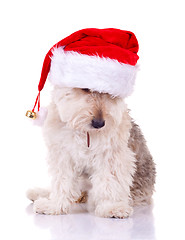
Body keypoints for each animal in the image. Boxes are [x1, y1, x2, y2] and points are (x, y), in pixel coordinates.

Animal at [26, 86, 155, 218]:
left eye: (109, 93)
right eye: (85, 88)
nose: (99, 123)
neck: (85, 132)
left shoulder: (111, 155)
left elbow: (111, 181)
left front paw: (111, 207)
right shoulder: (62, 154)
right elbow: (62, 182)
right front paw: (55, 205)